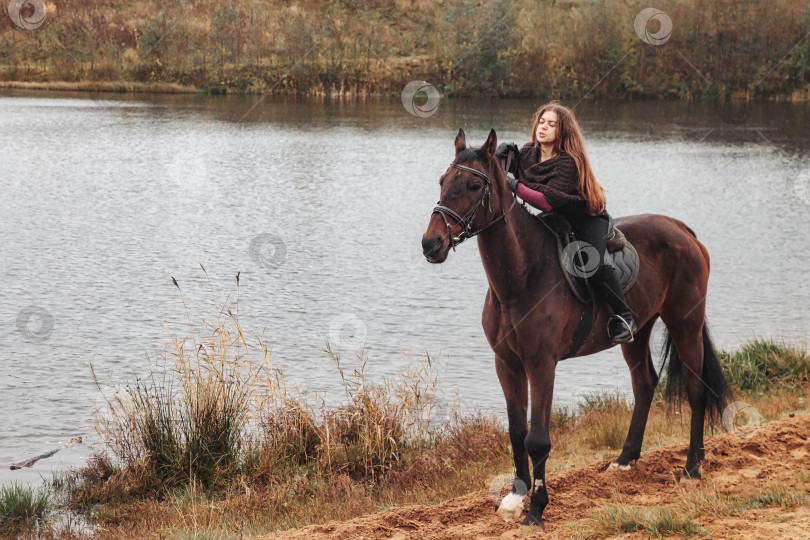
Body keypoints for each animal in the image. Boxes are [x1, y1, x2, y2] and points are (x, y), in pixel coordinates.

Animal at [420, 129, 728, 524]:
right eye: (443, 181)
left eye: (474, 185)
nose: (431, 243)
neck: (522, 276)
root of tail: (681, 228)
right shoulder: (507, 364)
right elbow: (517, 431)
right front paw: (515, 497)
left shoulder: (542, 364)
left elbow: (538, 439)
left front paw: (537, 508)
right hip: (637, 332)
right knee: (645, 385)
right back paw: (625, 459)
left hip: (685, 323)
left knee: (696, 390)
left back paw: (691, 468)